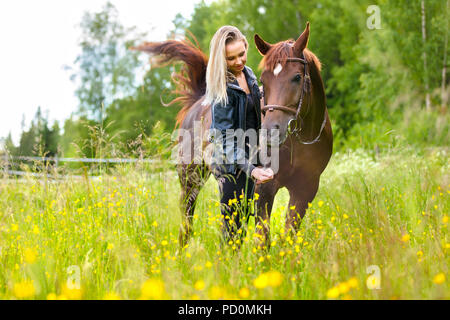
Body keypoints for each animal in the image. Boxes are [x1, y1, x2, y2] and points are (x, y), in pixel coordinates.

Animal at [132, 23, 332, 248]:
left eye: (297, 77)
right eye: (263, 80)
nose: (270, 132)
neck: (301, 141)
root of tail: (197, 103)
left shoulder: (305, 190)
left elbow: (288, 237)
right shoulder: (264, 189)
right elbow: (263, 240)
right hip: (190, 181)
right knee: (187, 226)